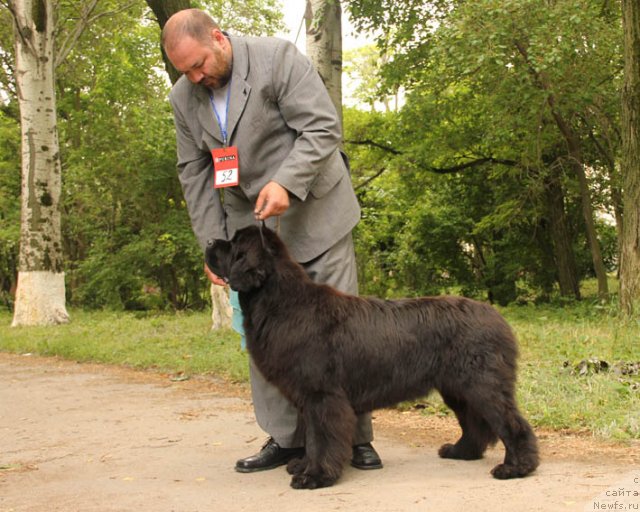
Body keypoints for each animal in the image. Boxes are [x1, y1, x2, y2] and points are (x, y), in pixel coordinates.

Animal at [206, 226, 540, 490]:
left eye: (234, 245)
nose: (209, 241)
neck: (281, 303)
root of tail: (497, 318)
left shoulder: (322, 395)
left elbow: (321, 437)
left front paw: (315, 476)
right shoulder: (308, 396)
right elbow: (312, 436)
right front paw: (304, 466)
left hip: (482, 385)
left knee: (511, 423)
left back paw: (516, 468)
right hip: (458, 389)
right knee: (474, 423)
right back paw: (460, 451)